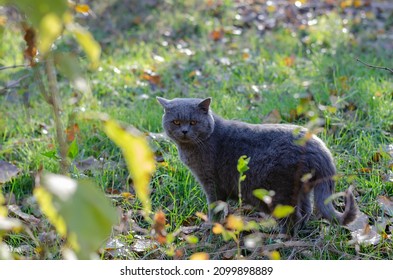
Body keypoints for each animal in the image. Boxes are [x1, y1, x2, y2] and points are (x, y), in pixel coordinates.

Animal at [157, 96, 358, 232]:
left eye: (193, 122)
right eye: (176, 122)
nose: (184, 131)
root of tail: (319, 146)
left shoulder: (211, 182)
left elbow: (215, 206)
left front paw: (212, 226)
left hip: (281, 192)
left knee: (293, 217)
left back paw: (280, 238)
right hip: (302, 188)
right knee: (305, 211)